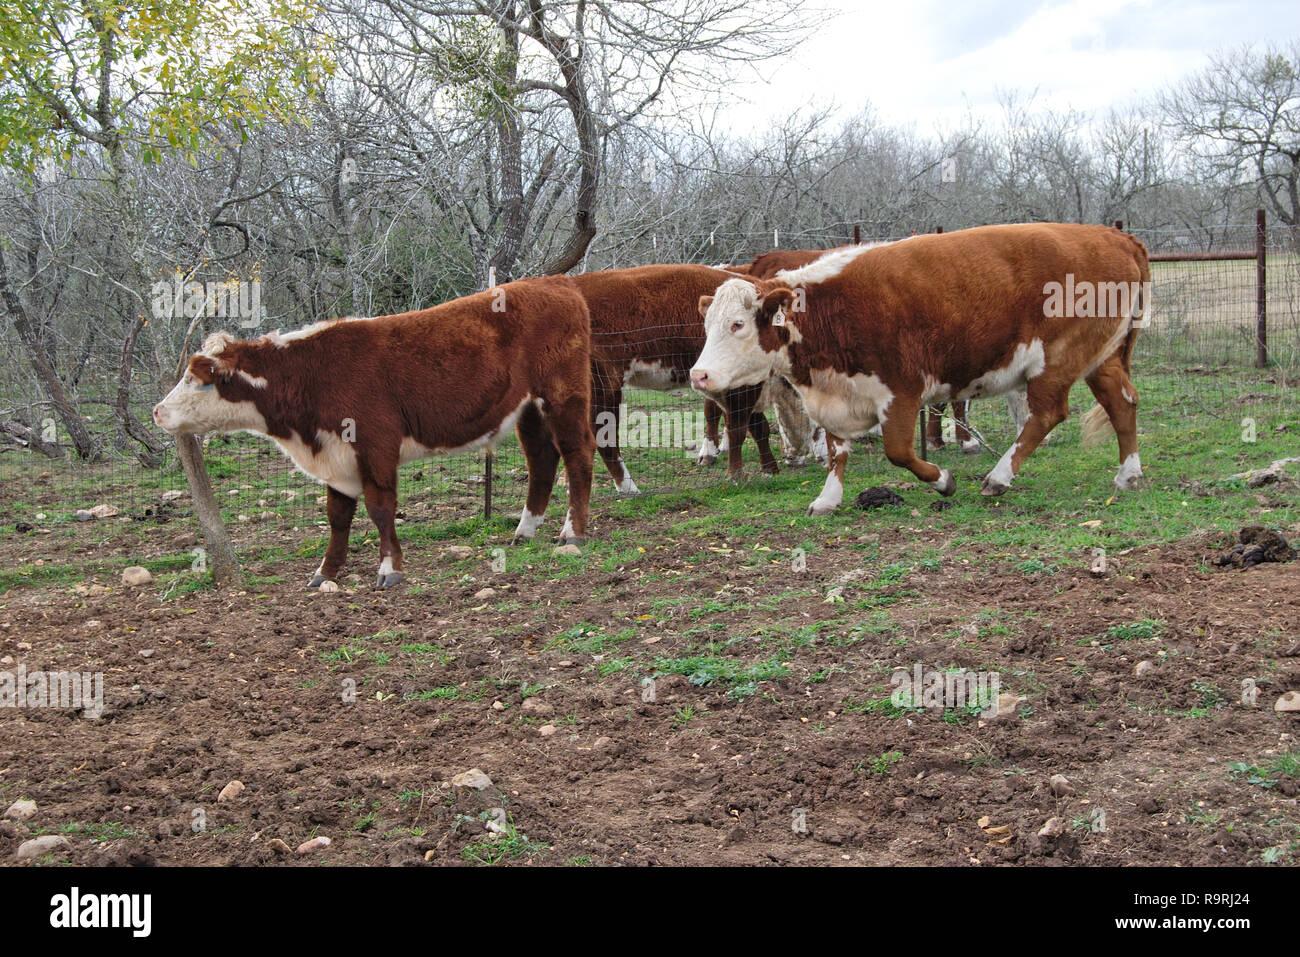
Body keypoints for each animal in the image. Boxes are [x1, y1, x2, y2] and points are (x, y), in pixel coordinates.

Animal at [152, 276, 595, 587]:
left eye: (199, 380)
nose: (157, 411)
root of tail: (558, 283)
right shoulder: (335, 455)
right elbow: (337, 516)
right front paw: (325, 572)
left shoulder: (375, 445)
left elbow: (380, 508)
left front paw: (389, 568)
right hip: (528, 409)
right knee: (542, 461)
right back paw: (525, 530)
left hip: (564, 396)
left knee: (578, 455)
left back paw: (572, 532)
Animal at [691, 222, 1149, 514]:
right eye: (708, 325)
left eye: (737, 324)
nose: (699, 375)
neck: (827, 311)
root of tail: (1112, 234)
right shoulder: (836, 395)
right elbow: (837, 450)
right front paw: (828, 499)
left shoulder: (901, 390)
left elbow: (899, 451)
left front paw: (942, 480)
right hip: (1101, 357)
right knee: (1121, 402)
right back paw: (1128, 474)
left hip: (1057, 358)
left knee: (1048, 414)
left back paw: (998, 478)